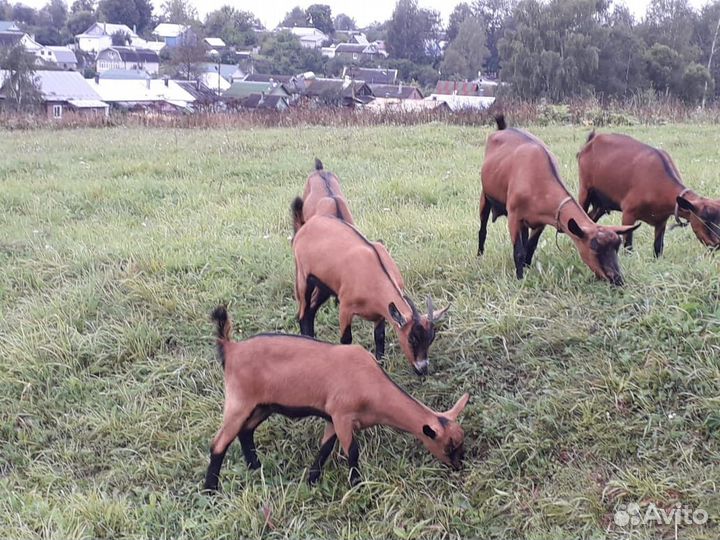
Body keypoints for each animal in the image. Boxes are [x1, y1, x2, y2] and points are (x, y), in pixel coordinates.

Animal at [203, 306, 469, 490]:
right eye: (448, 446)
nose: (459, 466)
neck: (373, 386)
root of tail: (230, 348)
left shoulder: (332, 419)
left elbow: (324, 449)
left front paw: (311, 481)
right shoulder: (342, 415)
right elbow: (352, 452)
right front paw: (357, 486)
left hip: (262, 405)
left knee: (246, 431)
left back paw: (256, 468)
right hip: (239, 401)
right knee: (218, 442)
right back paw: (211, 490)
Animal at [291, 214, 448, 376]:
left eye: (431, 339)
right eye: (412, 339)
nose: (422, 369)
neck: (374, 275)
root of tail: (309, 223)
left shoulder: (381, 313)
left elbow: (379, 338)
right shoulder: (345, 308)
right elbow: (346, 339)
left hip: (325, 286)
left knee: (311, 310)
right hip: (303, 278)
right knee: (303, 314)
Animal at [478, 115, 639, 285]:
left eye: (617, 247)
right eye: (594, 248)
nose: (617, 279)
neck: (537, 180)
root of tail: (502, 129)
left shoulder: (540, 220)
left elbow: (530, 246)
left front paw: (527, 269)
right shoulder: (514, 216)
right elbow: (519, 251)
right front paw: (520, 278)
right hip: (485, 196)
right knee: (483, 229)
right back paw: (479, 256)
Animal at [578, 132, 720, 256]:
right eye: (705, 219)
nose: (717, 244)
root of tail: (593, 139)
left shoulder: (661, 220)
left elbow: (658, 248)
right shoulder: (628, 213)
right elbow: (628, 247)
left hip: (601, 204)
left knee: (590, 219)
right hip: (585, 189)